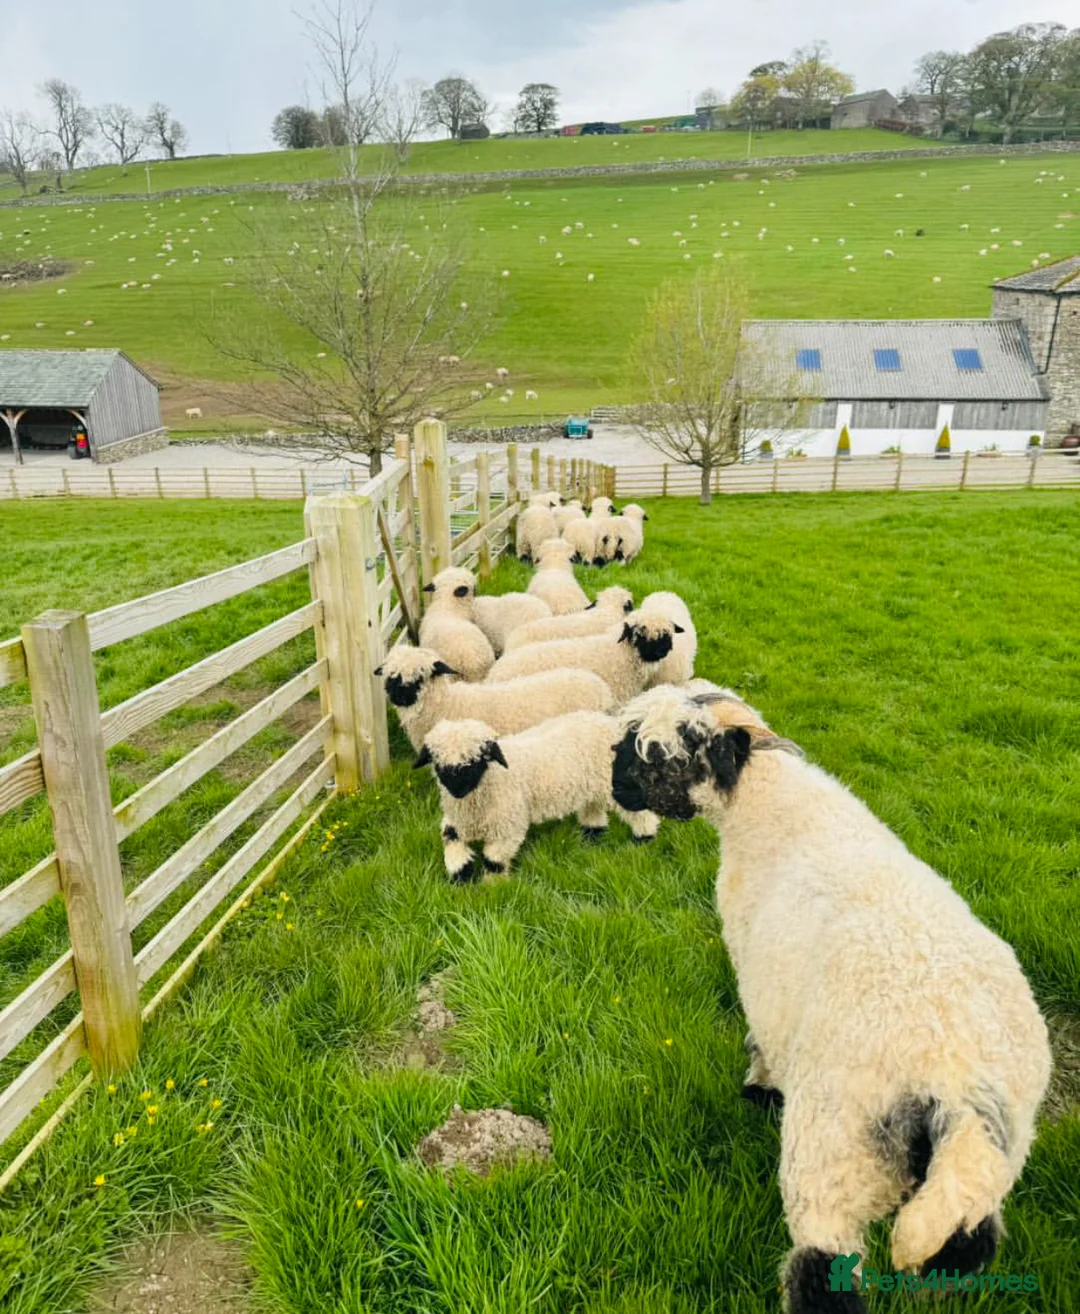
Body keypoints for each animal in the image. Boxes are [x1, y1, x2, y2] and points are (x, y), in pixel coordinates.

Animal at [416, 712, 660, 881]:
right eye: (438, 764)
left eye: (478, 761)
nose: (457, 790)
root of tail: (609, 722)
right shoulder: (455, 822)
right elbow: (450, 839)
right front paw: (461, 875)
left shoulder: (509, 825)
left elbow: (493, 860)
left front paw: (493, 886)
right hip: (591, 787)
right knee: (593, 809)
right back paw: (591, 835)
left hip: (616, 785)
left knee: (641, 812)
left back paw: (644, 839)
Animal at [610, 686, 1051, 1314]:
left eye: (650, 751)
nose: (615, 787)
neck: (768, 807)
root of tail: (955, 1082)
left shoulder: (757, 973)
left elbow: (761, 1042)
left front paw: (759, 1089)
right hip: (992, 1162)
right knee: (965, 1242)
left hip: (834, 1149)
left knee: (823, 1268)